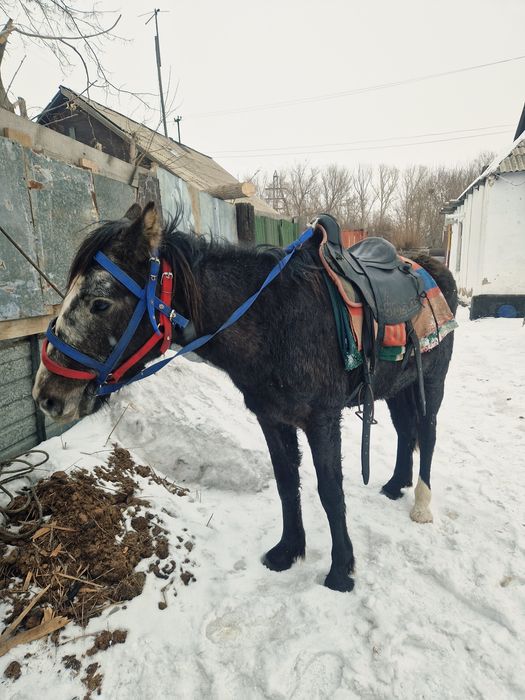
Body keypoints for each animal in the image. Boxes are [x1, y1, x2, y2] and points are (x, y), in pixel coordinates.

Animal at [33, 202, 457, 592]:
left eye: (100, 303)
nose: (47, 395)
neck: (276, 322)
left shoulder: (321, 419)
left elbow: (330, 492)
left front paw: (340, 571)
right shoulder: (271, 418)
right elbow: (287, 483)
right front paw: (287, 552)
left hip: (433, 382)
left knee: (427, 433)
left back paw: (421, 505)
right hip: (397, 387)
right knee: (405, 431)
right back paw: (395, 484)